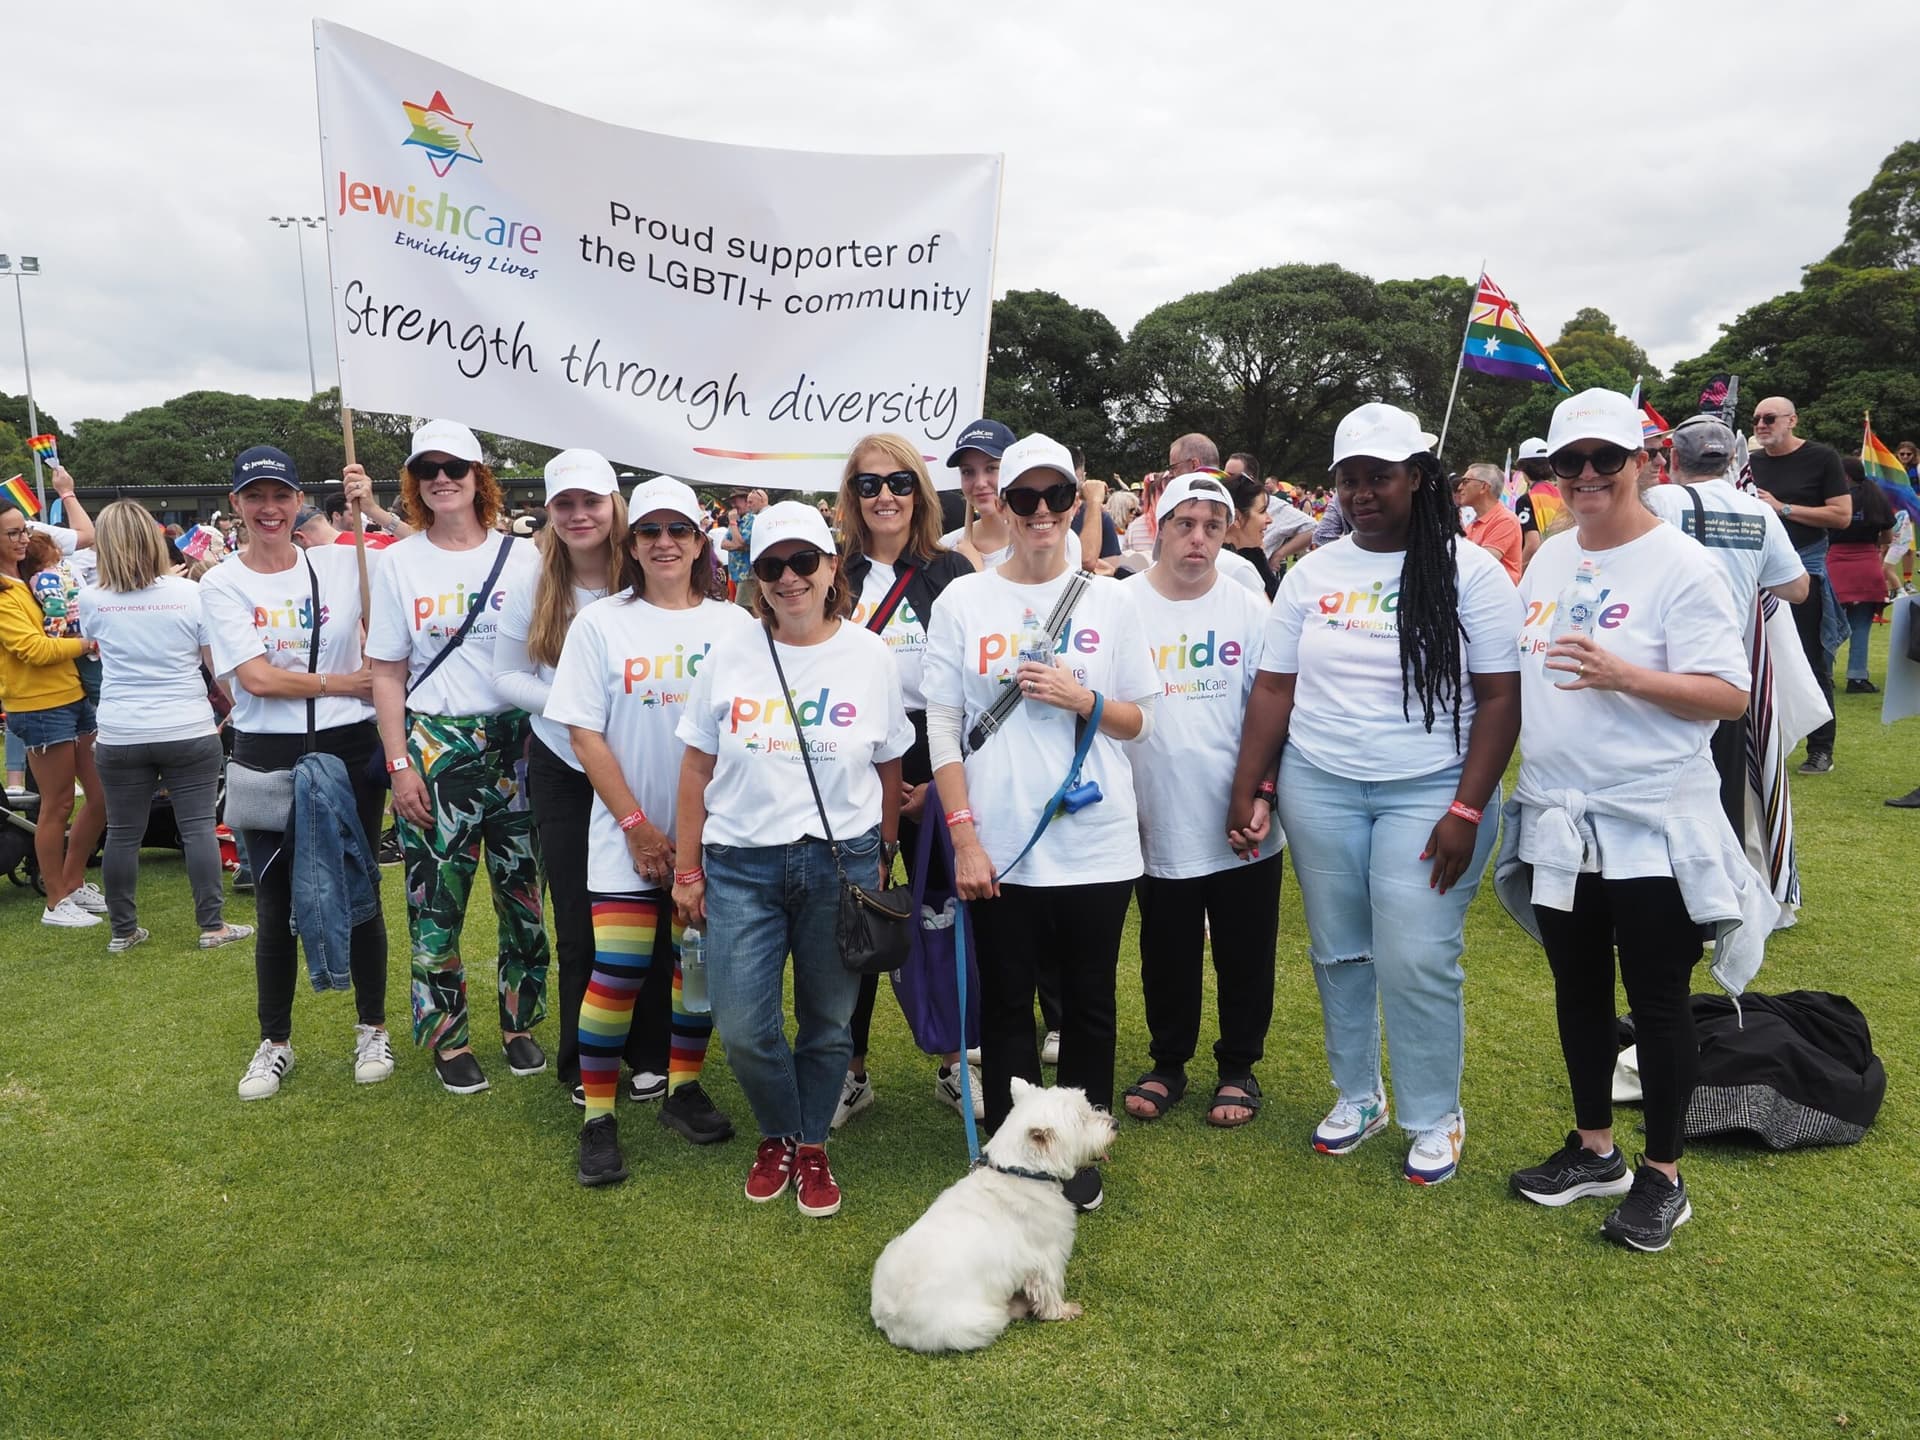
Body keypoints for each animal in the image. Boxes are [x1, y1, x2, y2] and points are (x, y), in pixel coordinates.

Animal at [867, 1075, 1121, 1359]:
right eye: (1082, 1119)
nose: (1115, 1123)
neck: (1023, 1173)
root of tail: (890, 1321)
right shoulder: (1048, 1256)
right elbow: (1050, 1291)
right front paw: (1063, 1311)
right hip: (978, 1322)